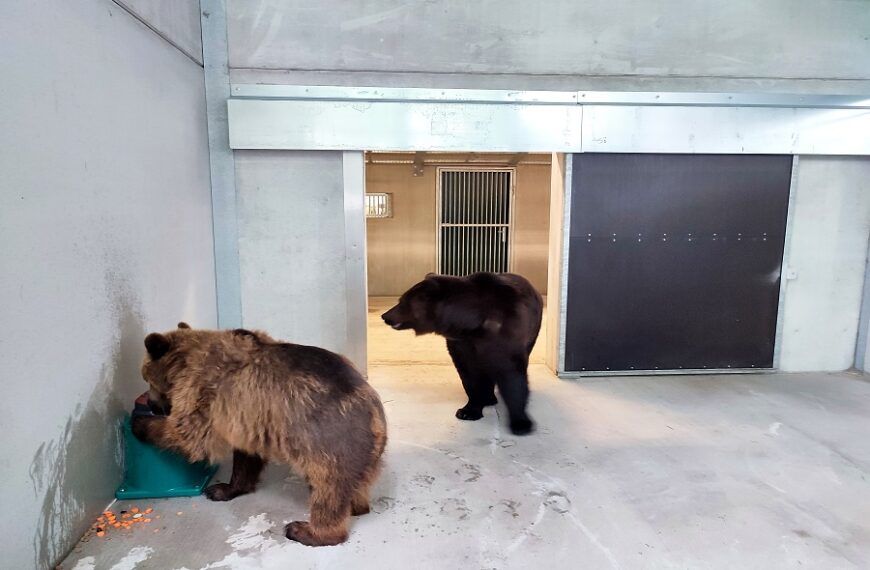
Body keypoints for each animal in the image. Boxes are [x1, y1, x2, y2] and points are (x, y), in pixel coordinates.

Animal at [131, 322, 386, 544]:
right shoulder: (247, 418)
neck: (183, 364)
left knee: (328, 491)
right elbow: (245, 457)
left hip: (328, 442)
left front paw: (140, 424)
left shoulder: (204, 390)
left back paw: (304, 530)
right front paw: (223, 489)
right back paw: (356, 507)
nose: (153, 405)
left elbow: (189, 436)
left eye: (146, 377)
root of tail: (377, 418)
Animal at [384, 272, 540, 434]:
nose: (385, 316)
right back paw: (490, 397)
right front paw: (468, 411)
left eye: (402, 302)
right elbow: (470, 375)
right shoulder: (461, 345)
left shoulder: (505, 335)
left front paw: (521, 423)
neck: (472, 325)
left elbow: (511, 374)